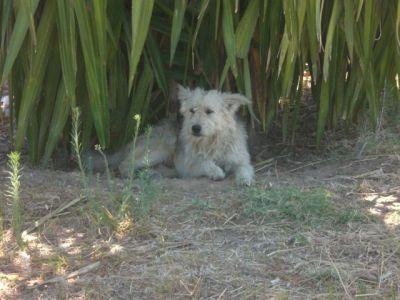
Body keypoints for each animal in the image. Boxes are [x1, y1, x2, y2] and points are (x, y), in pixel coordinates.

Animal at [89, 84, 255, 185]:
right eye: (192, 110)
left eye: (209, 111)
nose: (195, 128)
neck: (212, 141)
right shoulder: (188, 166)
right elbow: (204, 162)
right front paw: (216, 171)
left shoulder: (240, 159)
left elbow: (245, 168)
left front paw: (244, 179)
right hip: (162, 147)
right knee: (125, 165)